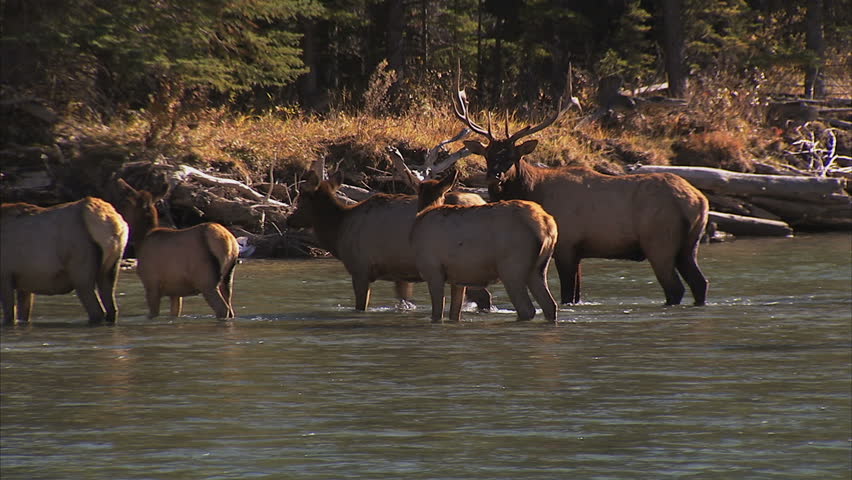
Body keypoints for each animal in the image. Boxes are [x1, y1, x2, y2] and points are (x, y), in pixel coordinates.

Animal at [1, 198, 129, 324]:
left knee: (97, 312)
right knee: (112, 309)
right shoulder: (25, 283)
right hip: (111, 268)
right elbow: (23, 315)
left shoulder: (5, 276)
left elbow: (9, 317)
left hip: (81, 274)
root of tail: (113, 224)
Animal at [111, 178, 239, 319]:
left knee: (222, 309)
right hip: (227, 278)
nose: (117, 215)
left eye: (124, 202)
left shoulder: (151, 284)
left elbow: (153, 314)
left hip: (206, 280)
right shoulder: (175, 292)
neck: (141, 240)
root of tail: (230, 243)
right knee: (230, 309)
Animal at [411, 169, 558, 322]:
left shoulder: (432, 269)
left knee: (527, 309)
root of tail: (547, 225)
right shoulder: (457, 279)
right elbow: (454, 314)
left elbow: (437, 313)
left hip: (512, 268)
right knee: (550, 304)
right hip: (538, 268)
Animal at [451, 74, 709, 306]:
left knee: (675, 288)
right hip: (689, 244)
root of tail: (698, 200)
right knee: (700, 283)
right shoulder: (577, 252)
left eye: (512, 156)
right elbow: (576, 295)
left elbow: (567, 294)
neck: (534, 190)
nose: (493, 176)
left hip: (660, 241)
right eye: (488, 155)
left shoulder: (566, 245)